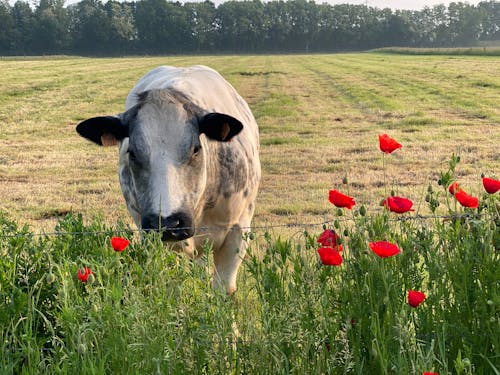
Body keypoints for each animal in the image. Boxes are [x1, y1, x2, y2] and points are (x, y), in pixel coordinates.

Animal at [77, 66, 262, 296]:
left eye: (196, 149)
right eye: (133, 153)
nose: (167, 223)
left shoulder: (238, 231)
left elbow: (223, 288)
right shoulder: (153, 238)